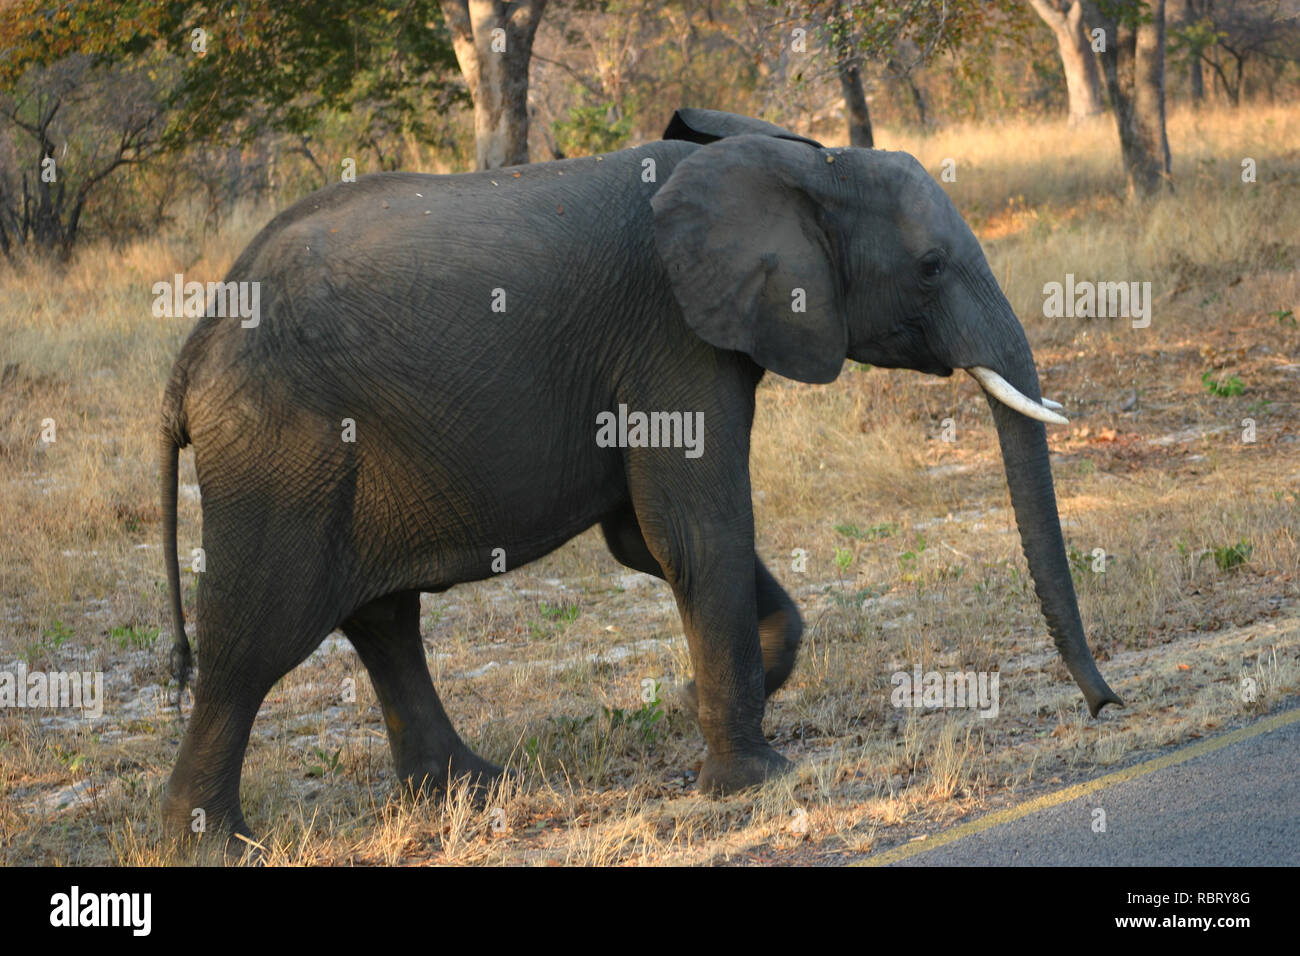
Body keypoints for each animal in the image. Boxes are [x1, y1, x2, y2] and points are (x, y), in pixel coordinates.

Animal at [159, 108, 1118, 842]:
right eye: (929, 267)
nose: (1106, 708)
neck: (794, 159)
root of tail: (193, 348)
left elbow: (644, 541)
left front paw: (705, 698)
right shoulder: (669, 333)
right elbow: (695, 529)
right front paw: (759, 778)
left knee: (382, 619)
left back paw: (475, 789)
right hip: (281, 448)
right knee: (256, 636)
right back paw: (217, 845)